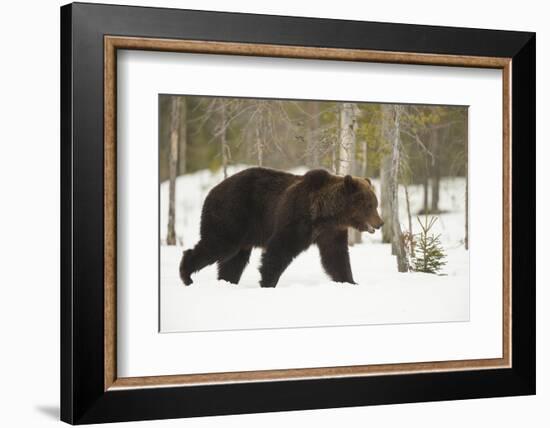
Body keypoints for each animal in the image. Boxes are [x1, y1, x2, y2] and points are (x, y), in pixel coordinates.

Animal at [180, 167, 384, 288]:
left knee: (235, 259)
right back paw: (186, 276)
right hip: (232, 215)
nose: (380, 223)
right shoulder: (296, 219)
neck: (324, 214)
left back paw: (227, 280)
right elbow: (279, 250)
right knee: (218, 245)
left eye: (375, 203)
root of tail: (211, 191)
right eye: (369, 205)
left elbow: (336, 256)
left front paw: (350, 281)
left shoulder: (331, 232)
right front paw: (268, 282)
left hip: (242, 230)